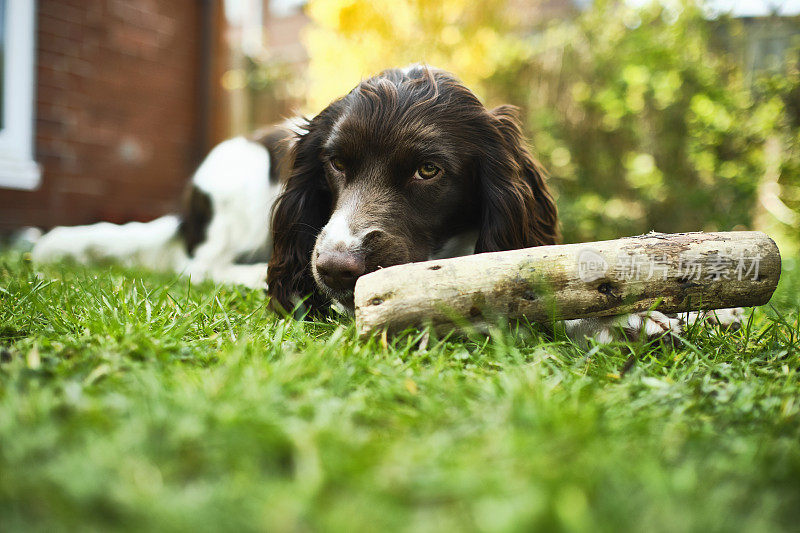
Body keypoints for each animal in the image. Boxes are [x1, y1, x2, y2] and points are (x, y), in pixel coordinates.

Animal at [31, 65, 744, 340]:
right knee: (198, 264)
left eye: (429, 170)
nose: (336, 270)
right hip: (237, 167)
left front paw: (701, 310)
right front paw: (634, 322)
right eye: (336, 165)